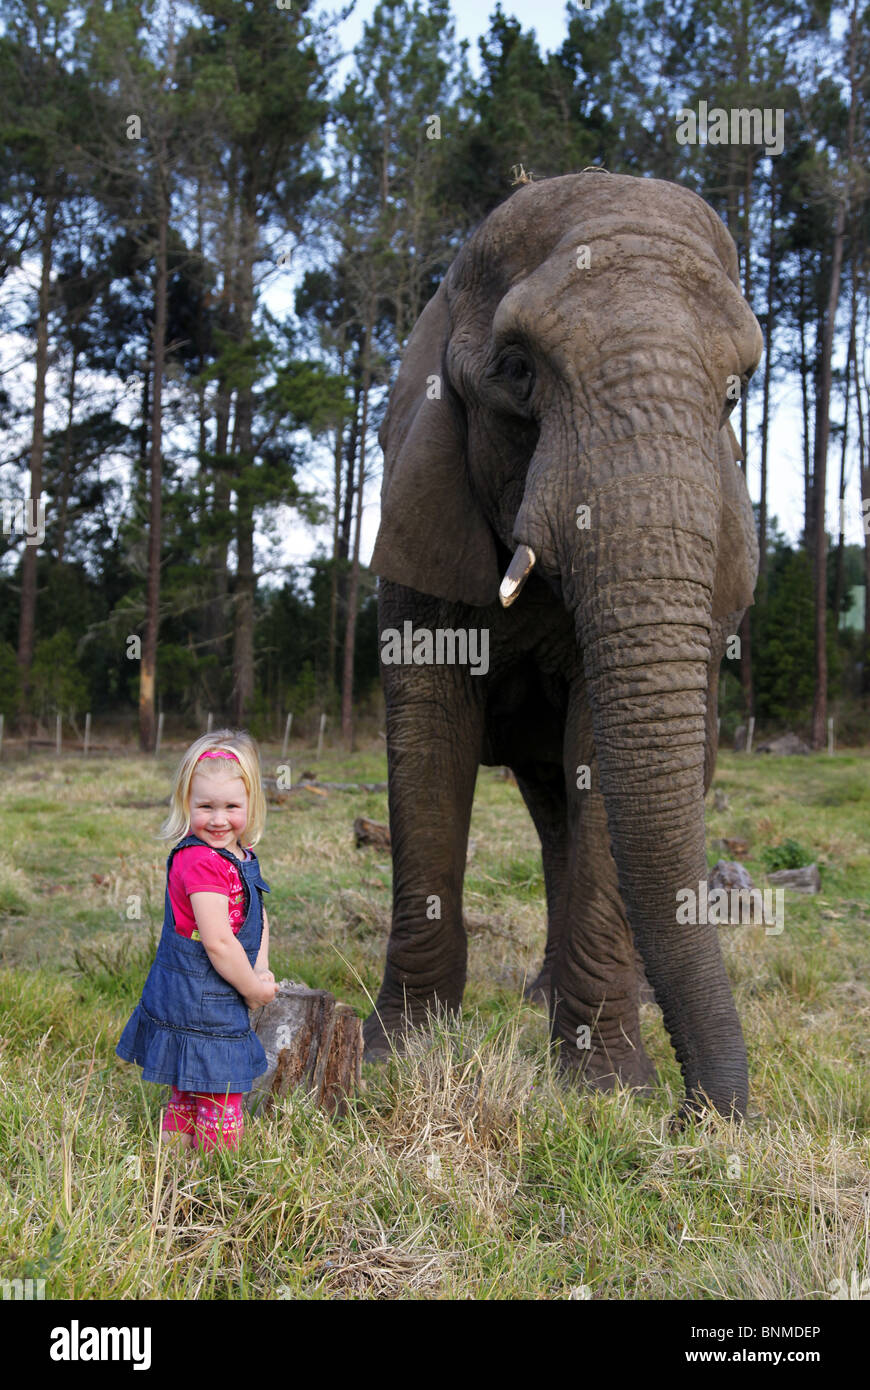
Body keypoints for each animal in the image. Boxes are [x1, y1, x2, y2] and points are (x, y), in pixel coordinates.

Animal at [362, 171, 762, 1120]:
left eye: (736, 394)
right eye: (518, 372)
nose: (701, 1115)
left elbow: (600, 758)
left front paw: (604, 1089)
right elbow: (427, 743)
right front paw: (394, 1057)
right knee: (550, 813)